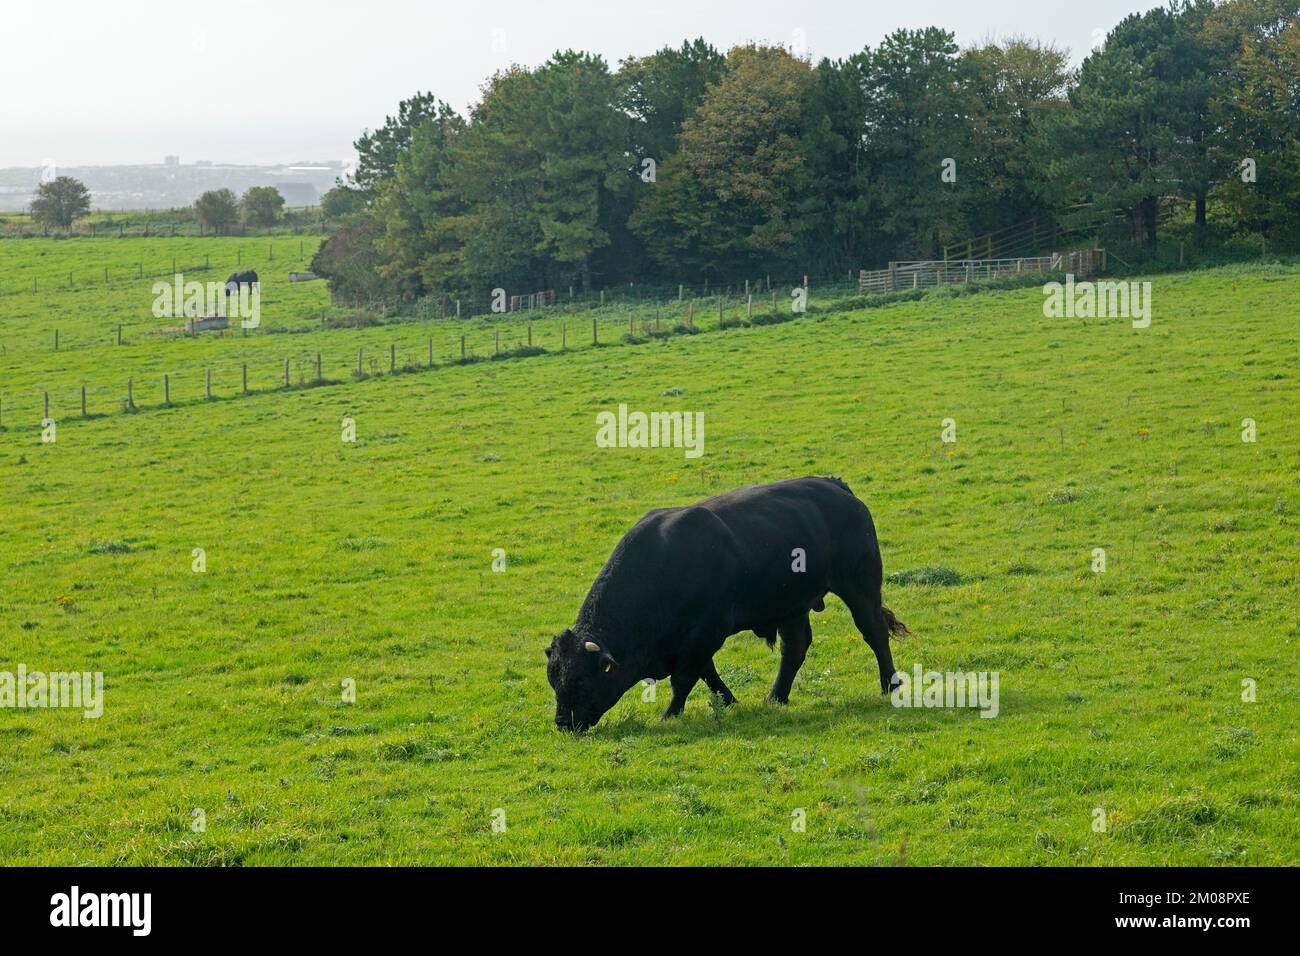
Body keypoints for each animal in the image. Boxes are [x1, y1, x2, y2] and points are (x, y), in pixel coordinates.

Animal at [543, 478, 909, 733]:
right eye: (554, 680)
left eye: (580, 681)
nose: (562, 723)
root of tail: (837, 487)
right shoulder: (691, 641)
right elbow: (707, 673)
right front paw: (730, 701)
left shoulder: (706, 631)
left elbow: (685, 678)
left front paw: (669, 715)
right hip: (792, 606)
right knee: (795, 649)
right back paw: (776, 697)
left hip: (859, 587)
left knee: (875, 632)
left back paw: (888, 684)